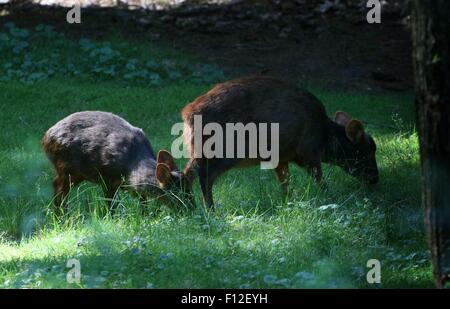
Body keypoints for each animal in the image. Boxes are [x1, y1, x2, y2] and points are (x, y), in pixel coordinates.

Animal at [41, 111, 191, 212]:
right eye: (176, 195)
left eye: (189, 191)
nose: (192, 210)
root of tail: (45, 137)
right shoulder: (106, 177)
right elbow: (111, 204)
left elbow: (143, 200)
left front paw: (145, 215)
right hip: (65, 166)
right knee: (59, 188)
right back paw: (61, 216)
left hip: (76, 172)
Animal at [181, 76, 378, 208]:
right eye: (366, 152)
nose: (375, 178)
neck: (324, 138)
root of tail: (188, 113)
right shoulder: (309, 151)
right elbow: (318, 178)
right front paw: (330, 198)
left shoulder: (281, 157)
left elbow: (285, 182)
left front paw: (287, 203)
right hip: (227, 149)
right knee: (205, 175)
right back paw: (210, 209)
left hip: (199, 150)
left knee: (186, 173)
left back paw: (190, 205)